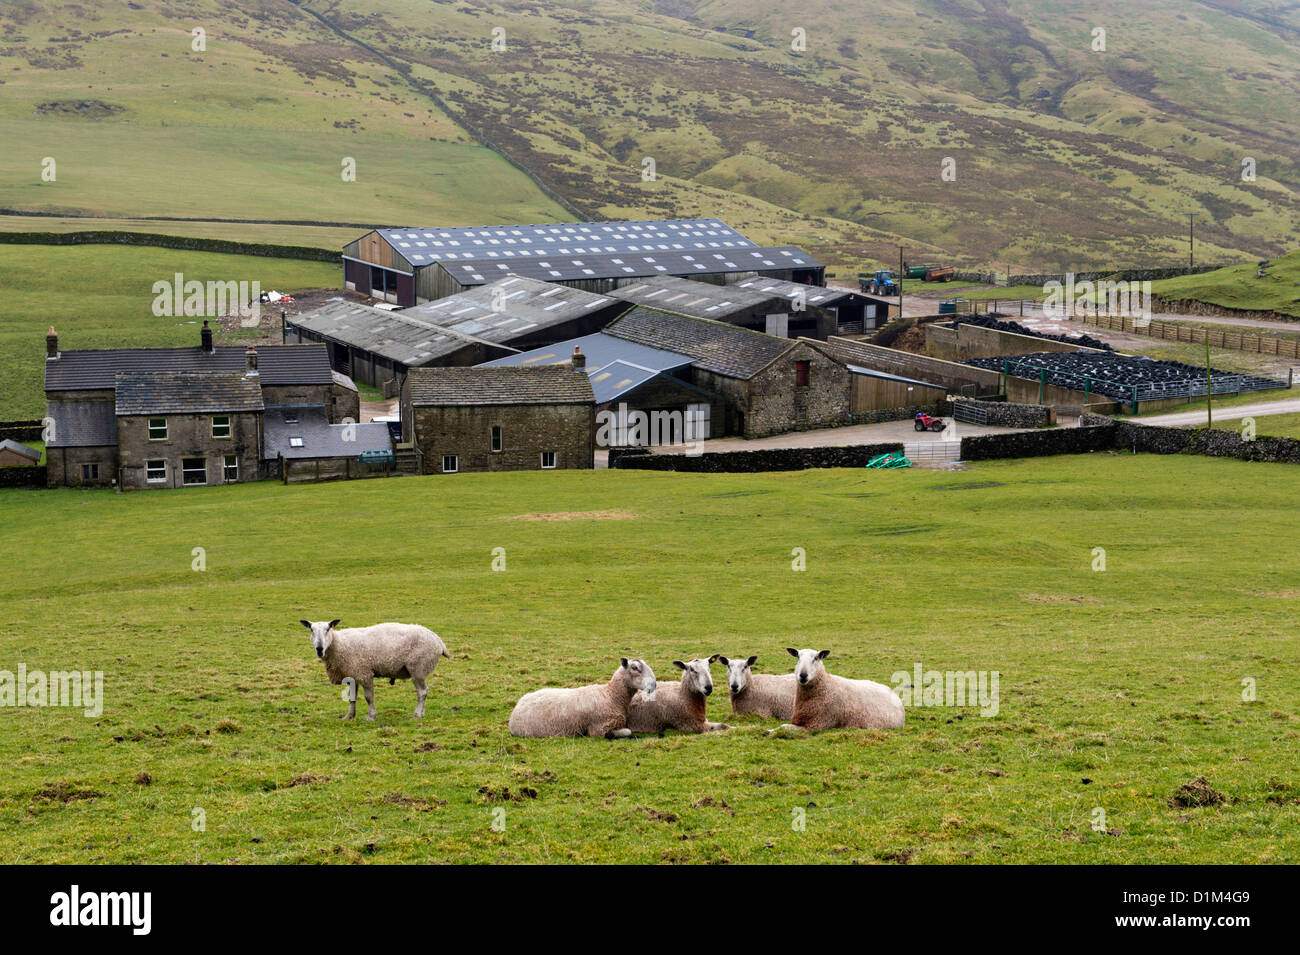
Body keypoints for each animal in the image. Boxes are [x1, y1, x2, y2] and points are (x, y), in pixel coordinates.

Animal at [299, 623, 452, 722]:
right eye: (311, 630)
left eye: (328, 628)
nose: (319, 648)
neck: (339, 644)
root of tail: (438, 640)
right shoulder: (352, 674)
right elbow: (352, 697)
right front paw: (349, 716)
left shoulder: (364, 673)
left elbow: (368, 697)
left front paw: (371, 716)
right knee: (424, 691)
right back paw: (422, 713)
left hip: (418, 668)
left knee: (422, 692)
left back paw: (417, 715)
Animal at [504, 660, 655, 743]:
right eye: (635, 668)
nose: (653, 685)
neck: (612, 695)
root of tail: (517, 706)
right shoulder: (598, 729)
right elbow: (627, 731)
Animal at [769, 647, 904, 738]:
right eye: (798, 657)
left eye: (816, 658)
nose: (803, 675)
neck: (826, 687)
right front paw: (769, 731)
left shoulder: (817, 724)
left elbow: (784, 727)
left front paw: (769, 731)